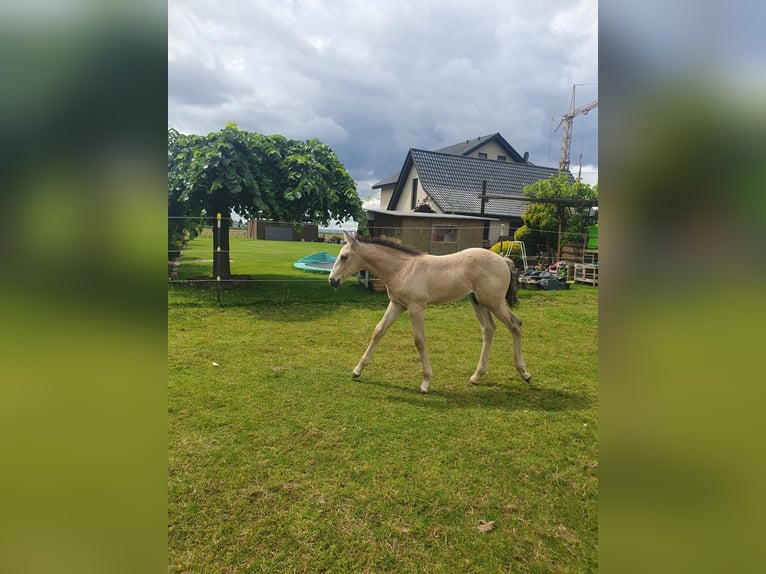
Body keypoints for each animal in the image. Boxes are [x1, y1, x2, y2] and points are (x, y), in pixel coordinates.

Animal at [330, 232, 536, 394]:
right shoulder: (397, 304)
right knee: (488, 329)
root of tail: (503, 260)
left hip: (493, 302)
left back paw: (525, 373)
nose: (332, 281)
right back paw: (476, 376)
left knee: (515, 324)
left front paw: (425, 382)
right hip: (479, 302)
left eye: (344, 257)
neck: (402, 269)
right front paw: (357, 370)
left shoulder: (416, 307)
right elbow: (379, 331)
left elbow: (419, 340)